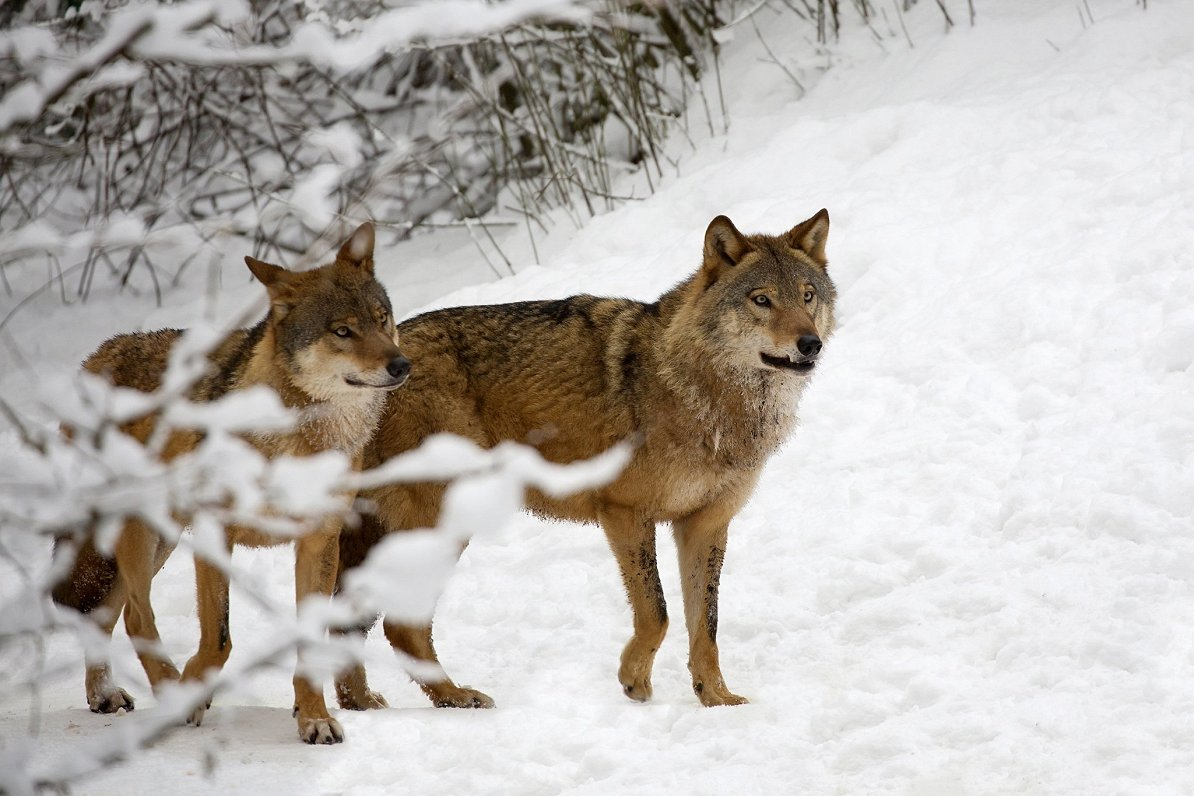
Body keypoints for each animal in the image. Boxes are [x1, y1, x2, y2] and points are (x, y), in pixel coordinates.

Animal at [52, 220, 410, 744]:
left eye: (383, 319)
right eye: (343, 331)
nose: (401, 365)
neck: (301, 434)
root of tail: (98, 355)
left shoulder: (319, 541)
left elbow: (308, 643)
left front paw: (314, 718)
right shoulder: (215, 533)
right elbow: (219, 639)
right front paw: (192, 692)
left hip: (159, 542)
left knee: (111, 612)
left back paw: (105, 694)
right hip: (142, 533)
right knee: (137, 615)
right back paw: (165, 694)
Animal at [334, 210, 840, 711]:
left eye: (807, 296)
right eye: (762, 300)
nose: (810, 343)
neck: (706, 397)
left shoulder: (705, 524)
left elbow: (706, 624)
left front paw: (717, 700)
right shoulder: (625, 513)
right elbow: (657, 613)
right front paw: (635, 682)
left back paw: (362, 703)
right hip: (441, 523)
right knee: (400, 625)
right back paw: (453, 697)